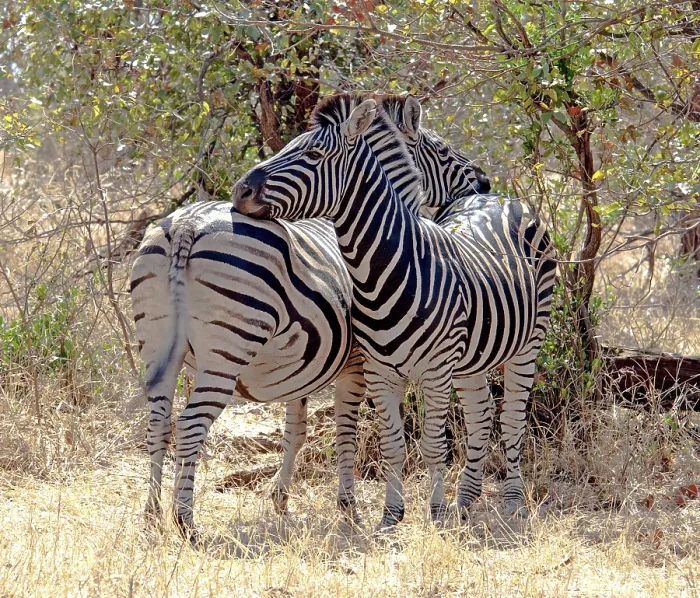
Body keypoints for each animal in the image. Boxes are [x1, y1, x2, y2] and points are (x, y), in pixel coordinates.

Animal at [130, 94, 491, 535]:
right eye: (441, 150)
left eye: (307, 150)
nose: (485, 183)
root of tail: (186, 225)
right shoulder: (357, 364)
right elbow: (345, 430)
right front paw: (349, 507)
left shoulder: (300, 366)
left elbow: (295, 431)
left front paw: (280, 499)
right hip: (227, 350)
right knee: (190, 425)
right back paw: (186, 522)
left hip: (155, 346)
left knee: (158, 425)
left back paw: (151, 515)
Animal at [231, 95, 557, 529]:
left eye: (314, 154)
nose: (240, 191)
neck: (385, 268)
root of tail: (500, 199)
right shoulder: (379, 373)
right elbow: (393, 446)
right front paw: (391, 516)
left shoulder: (435, 372)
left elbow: (433, 446)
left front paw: (435, 516)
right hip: (473, 356)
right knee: (480, 412)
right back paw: (465, 501)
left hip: (528, 343)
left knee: (512, 419)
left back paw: (512, 503)